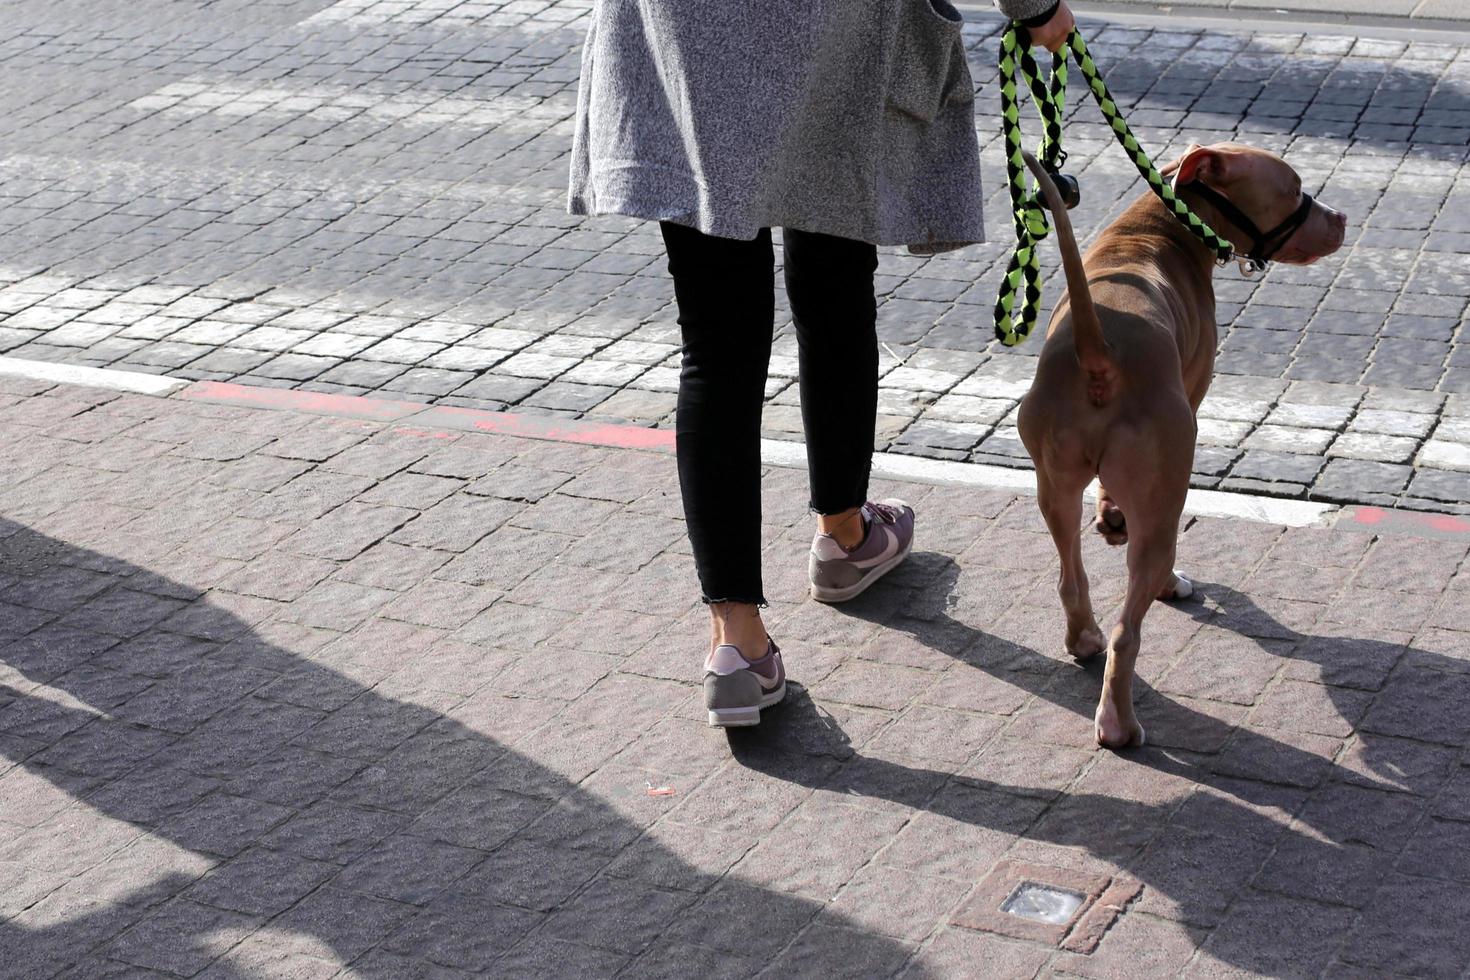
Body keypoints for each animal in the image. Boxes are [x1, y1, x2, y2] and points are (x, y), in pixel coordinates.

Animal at [1023, 143, 1346, 752]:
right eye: (1294, 189)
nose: (1340, 217)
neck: (1158, 226)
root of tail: (1098, 355)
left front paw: (1110, 516)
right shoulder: (1193, 396)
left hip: (1051, 483)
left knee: (1070, 575)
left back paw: (1083, 637)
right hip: (1165, 490)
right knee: (1130, 625)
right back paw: (1119, 721)